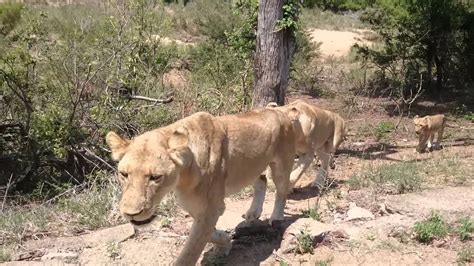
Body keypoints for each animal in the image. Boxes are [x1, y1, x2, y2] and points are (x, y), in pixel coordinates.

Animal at [105, 108, 294, 266]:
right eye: (124, 174)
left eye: (155, 177)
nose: (131, 214)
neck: (184, 174)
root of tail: (280, 110)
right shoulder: (194, 206)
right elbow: (207, 234)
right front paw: (225, 242)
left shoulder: (209, 208)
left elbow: (191, 250)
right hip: (250, 167)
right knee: (261, 180)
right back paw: (253, 213)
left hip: (281, 164)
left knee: (282, 190)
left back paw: (276, 217)